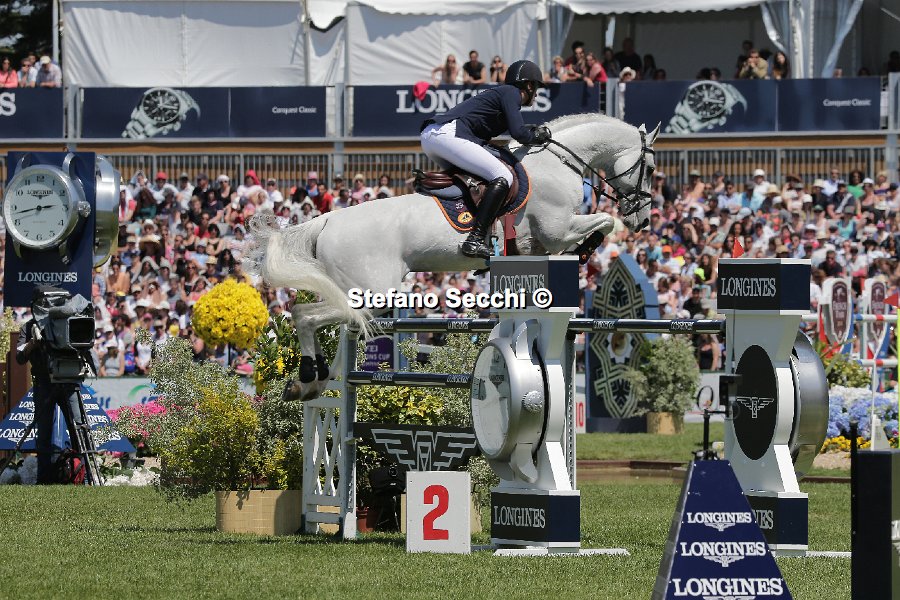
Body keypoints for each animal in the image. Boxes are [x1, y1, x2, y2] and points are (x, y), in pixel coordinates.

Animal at [247, 113, 659, 400]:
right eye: (651, 169)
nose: (642, 219)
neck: (559, 163)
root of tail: (328, 219)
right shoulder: (557, 228)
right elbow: (604, 221)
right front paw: (584, 250)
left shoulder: (538, 244)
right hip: (370, 293)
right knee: (305, 315)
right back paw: (307, 378)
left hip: (349, 290)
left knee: (313, 317)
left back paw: (310, 383)